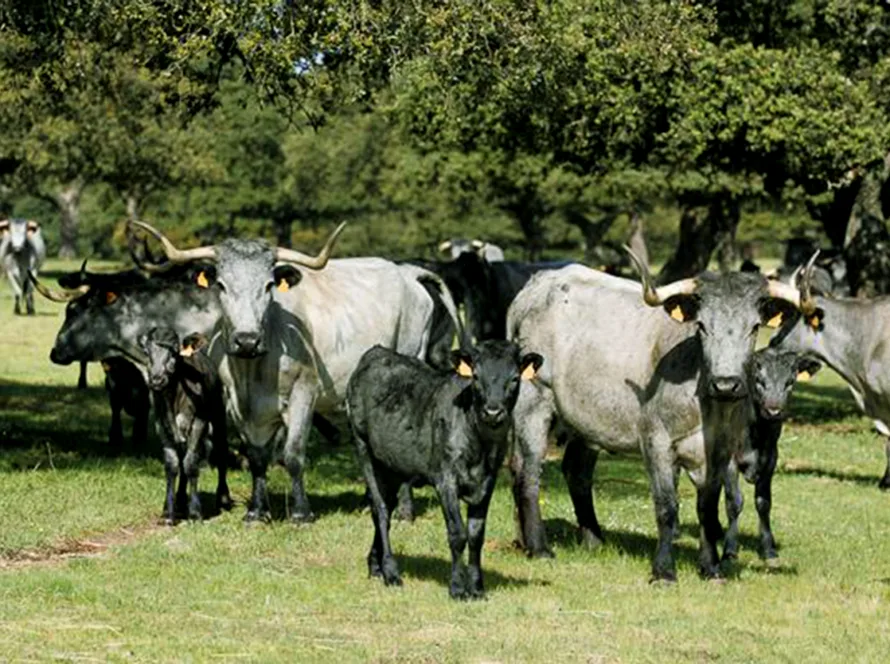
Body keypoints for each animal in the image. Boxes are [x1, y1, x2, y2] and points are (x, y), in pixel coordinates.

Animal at [139, 328, 231, 523]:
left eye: (174, 352)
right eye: (147, 352)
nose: (156, 380)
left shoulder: (199, 423)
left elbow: (190, 463)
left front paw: (195, 512)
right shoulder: (161, 425)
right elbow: (173, 464)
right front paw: (168, 510)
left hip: (219, 415)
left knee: (221, 453)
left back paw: (223, 498)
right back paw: (180, 500)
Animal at [346, 341, 543, 598]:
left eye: (515, 378)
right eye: (476, 377)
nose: (492, 412)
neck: (481, 445)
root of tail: (377, 351)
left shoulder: (487, 481)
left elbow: (476, 535)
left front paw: (477, 588)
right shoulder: (445, 479)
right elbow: (458, 533)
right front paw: (458, 588)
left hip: (393, 465)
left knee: (384, 505)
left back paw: (375, 566)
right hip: (363, 448)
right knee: (380, 510)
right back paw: (391, 572)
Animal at [506, 253, 807, 581]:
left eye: (754, 327)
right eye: (702, 326)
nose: (726, 384)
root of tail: (535, 286)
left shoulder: (720, 453)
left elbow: (708, 508)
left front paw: (711, 567)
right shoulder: (656, 441)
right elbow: (667, 506)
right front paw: (664, 570)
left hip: (587, 420)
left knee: (575, 471)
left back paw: (589, 540)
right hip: (533, 402)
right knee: (529, 473)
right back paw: (539, 547)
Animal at [723, 348, 821, 560]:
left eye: (790, 381)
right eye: (758, 380)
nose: (774, 410)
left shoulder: (770, 460)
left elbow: (763, 503)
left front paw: (769, 549)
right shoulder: (729, 461)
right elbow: (734, 502)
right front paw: (730, 549)